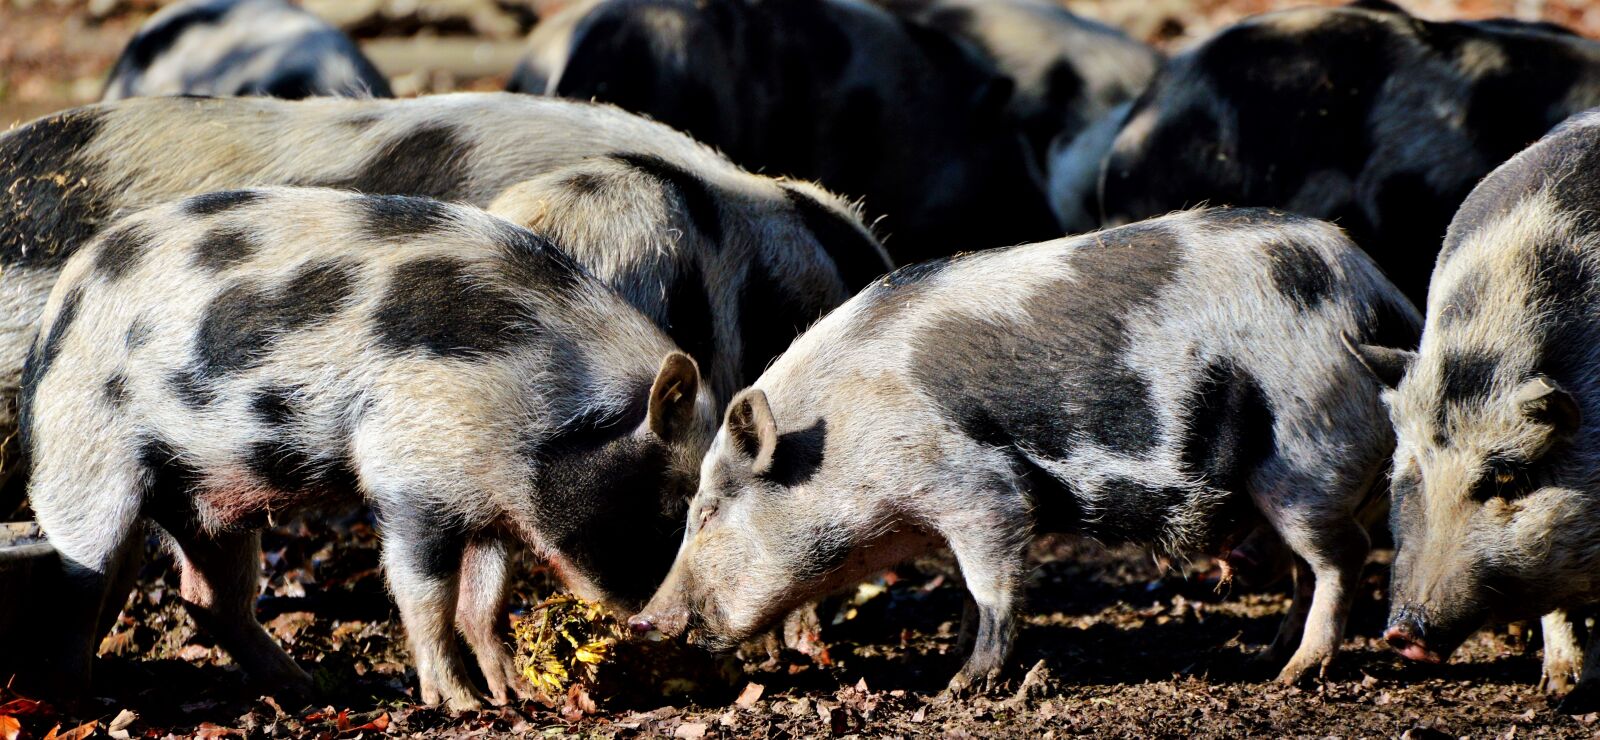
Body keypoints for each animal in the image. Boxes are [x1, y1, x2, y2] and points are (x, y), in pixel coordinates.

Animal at [20, 186, 717, 710]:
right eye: (674, 510)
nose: (662, 629)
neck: (545, 408)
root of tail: (55, 320)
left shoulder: (492, 505)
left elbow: (485, 603)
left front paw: (517, 695)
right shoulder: (410, 475)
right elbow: (426, 598)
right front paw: (461, 705)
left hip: (208, 497)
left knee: (208, 598)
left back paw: (308, 690)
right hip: (84, 456)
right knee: (82, 575)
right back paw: (80, 700)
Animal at [631, 207, 1422, 692]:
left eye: (707, 511)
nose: (642, 619)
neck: (849, 436)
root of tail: (1381, 297)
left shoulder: (981, 493)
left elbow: (994, 587)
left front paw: (959, 685)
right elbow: (962, 588)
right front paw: (954, 654)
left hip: (1305, 455)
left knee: (1343, 557)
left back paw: (1297, 674)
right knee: (1303, 569)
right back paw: (1268, 654)